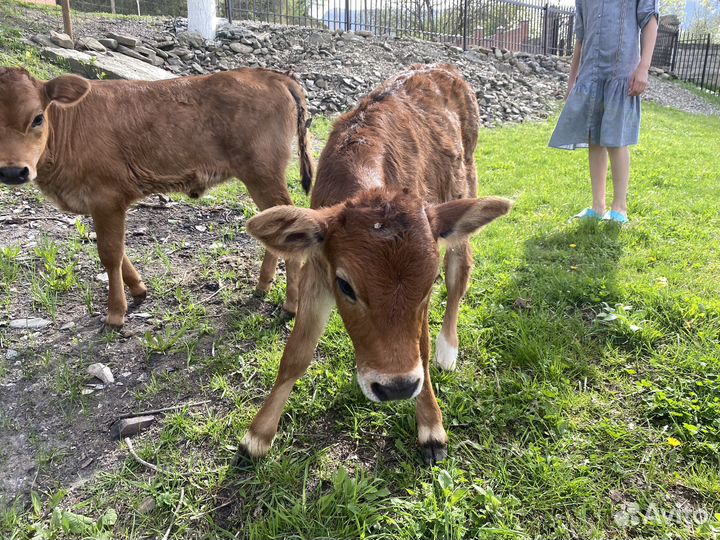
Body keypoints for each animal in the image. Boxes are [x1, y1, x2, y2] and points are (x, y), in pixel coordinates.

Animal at [0, 67, 313, 327]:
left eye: (38, 118)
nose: (12, 171)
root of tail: (271, 74)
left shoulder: (106, 198)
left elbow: (110, 254)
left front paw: (115, 313)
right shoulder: (99, 204)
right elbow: (119, 252)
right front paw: (139, 289)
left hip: (263, 174)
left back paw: (291, 304)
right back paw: (263, 285)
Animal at [237, 64, 512, 464]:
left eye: (429, 282)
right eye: (346, 286)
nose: (396, 387)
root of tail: (443, 68)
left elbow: (421, 348)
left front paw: (431, 428)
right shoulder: (318, 268)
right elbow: (296, 354)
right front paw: (257, 436)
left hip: (465, 190)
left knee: (461, 272)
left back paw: (448, 348)